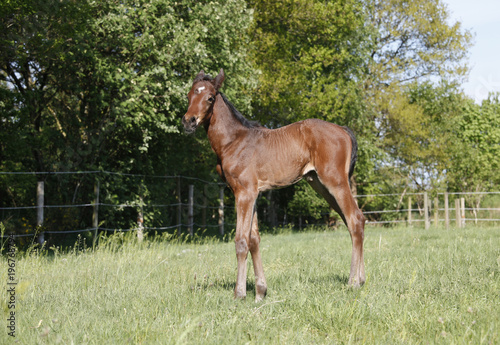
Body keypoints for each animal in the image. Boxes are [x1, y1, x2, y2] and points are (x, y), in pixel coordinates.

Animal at [182, 68, 366, 300]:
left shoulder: (244, 193)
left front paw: (239, 293)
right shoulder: (254, 193)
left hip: (335, 181)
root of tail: (343, 130)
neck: (233, 141)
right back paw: (361, 279)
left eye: (210, 98)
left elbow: (241, 241)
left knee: (354, 219)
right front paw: (260, 291)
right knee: (355, 220)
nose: (188, 121)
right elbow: (254, 239)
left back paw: (353, 282)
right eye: (189, 96)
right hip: (321, 185)